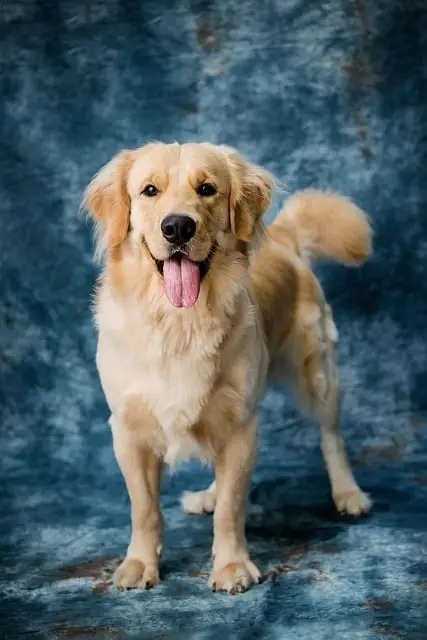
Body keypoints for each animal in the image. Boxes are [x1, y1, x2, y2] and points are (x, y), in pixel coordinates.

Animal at [83, 140, 372, 596]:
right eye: (149, 190)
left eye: (207, 189)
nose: (177, 227)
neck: (179, 322)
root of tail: (284, 237)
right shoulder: (129, 430)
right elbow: (144, 508)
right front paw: (140, 563)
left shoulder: (241, 426)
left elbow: (231, 509)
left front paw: (232, 566)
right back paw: (206, 495)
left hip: (317, 375)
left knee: (332, 438)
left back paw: (349, 494)